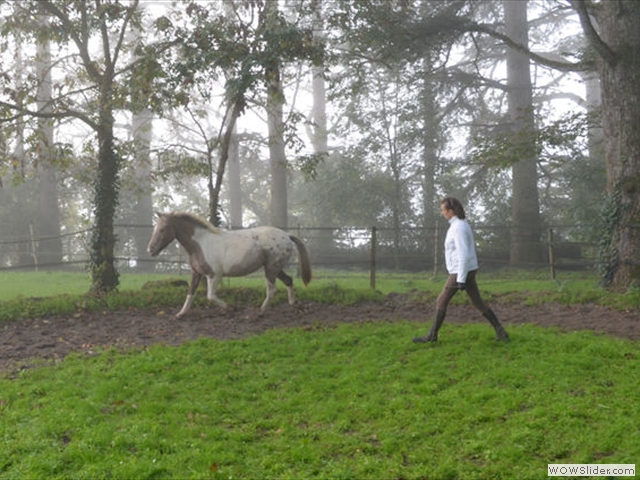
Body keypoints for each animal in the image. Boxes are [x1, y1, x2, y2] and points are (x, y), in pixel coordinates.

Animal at [148, 212, 312, 316]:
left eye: (162, 229)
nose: (150, 250)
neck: (201, 243)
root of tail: (287, 235)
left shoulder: (214, 275)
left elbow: (210, 296)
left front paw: (232, 308)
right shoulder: (197, 273)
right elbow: (190, 293)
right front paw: (180, 313)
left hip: (271, 269)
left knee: (272, 290)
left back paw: (261, 311)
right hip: (275, 268)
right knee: (288, 280)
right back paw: (293, 305)